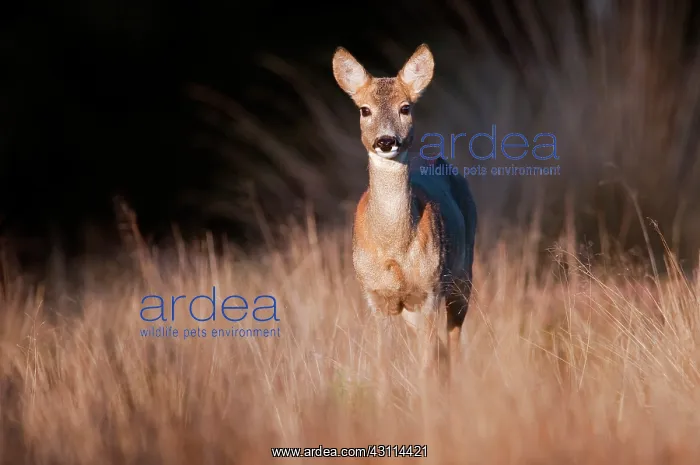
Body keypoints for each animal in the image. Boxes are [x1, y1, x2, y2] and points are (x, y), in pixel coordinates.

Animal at [332, 44, 477, 383]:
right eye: (364, 110)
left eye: (406, 108)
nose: (386, 141)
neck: (394, 247)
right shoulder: (376, 297)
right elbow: (382, 365)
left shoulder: (429, 290)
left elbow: (426, 365)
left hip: (462, 277)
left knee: (452, 343)